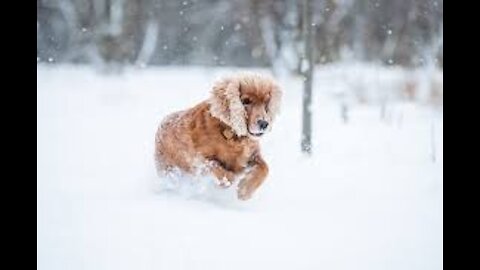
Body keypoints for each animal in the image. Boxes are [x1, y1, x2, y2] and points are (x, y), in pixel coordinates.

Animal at [154, 73, 282, 199]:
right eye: (245, 101)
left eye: (266, 103)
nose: (264, 124)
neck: (231, 133)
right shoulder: (198, 158)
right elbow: (217, 167)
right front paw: (227, 180)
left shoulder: (252, 155)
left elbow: (265, 168)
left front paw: (245, 190)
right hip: (169, 170)